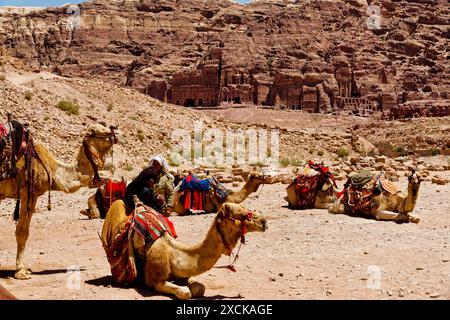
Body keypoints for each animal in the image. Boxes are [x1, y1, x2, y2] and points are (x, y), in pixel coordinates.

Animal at [0, 124, 125, 278]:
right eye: (96, 131)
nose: (117, 131)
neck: (52, 168)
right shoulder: (29, 193)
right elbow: (23, 232)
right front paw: (21, 271)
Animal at [102, 200, 268, 300]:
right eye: (244, 215)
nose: (264, 222)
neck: (174, 252)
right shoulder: (154, 278)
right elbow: (185, 292)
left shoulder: (182, 271)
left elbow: (199, 288)